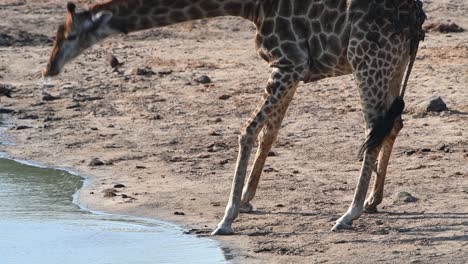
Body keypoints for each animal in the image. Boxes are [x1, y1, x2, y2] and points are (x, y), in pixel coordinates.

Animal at [42, 0, 426, 235]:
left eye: (71, 35)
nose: (49, 68)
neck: (250, 6)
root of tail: (414, 19)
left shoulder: (289, 62)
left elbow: (247, 132)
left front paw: (227, 217)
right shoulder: (292, 68)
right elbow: (269, 133)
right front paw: (245, 200)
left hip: (367, 59)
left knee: (372, 128)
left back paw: (348, 214)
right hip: (393, 63)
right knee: (392, 123)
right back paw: (374, 201)